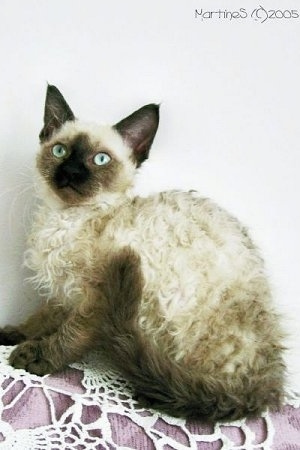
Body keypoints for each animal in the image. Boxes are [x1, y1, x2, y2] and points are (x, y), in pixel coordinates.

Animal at [0, 84, 286, 422]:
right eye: (60, 151)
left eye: (100, 159)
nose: (70, 172)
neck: (65, 219)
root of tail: (266, 386)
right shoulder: (64, 293)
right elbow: (40, 319)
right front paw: (14, 334)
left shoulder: (96, 300)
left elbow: (69, 335)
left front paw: (36, 357)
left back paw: (155, 388)